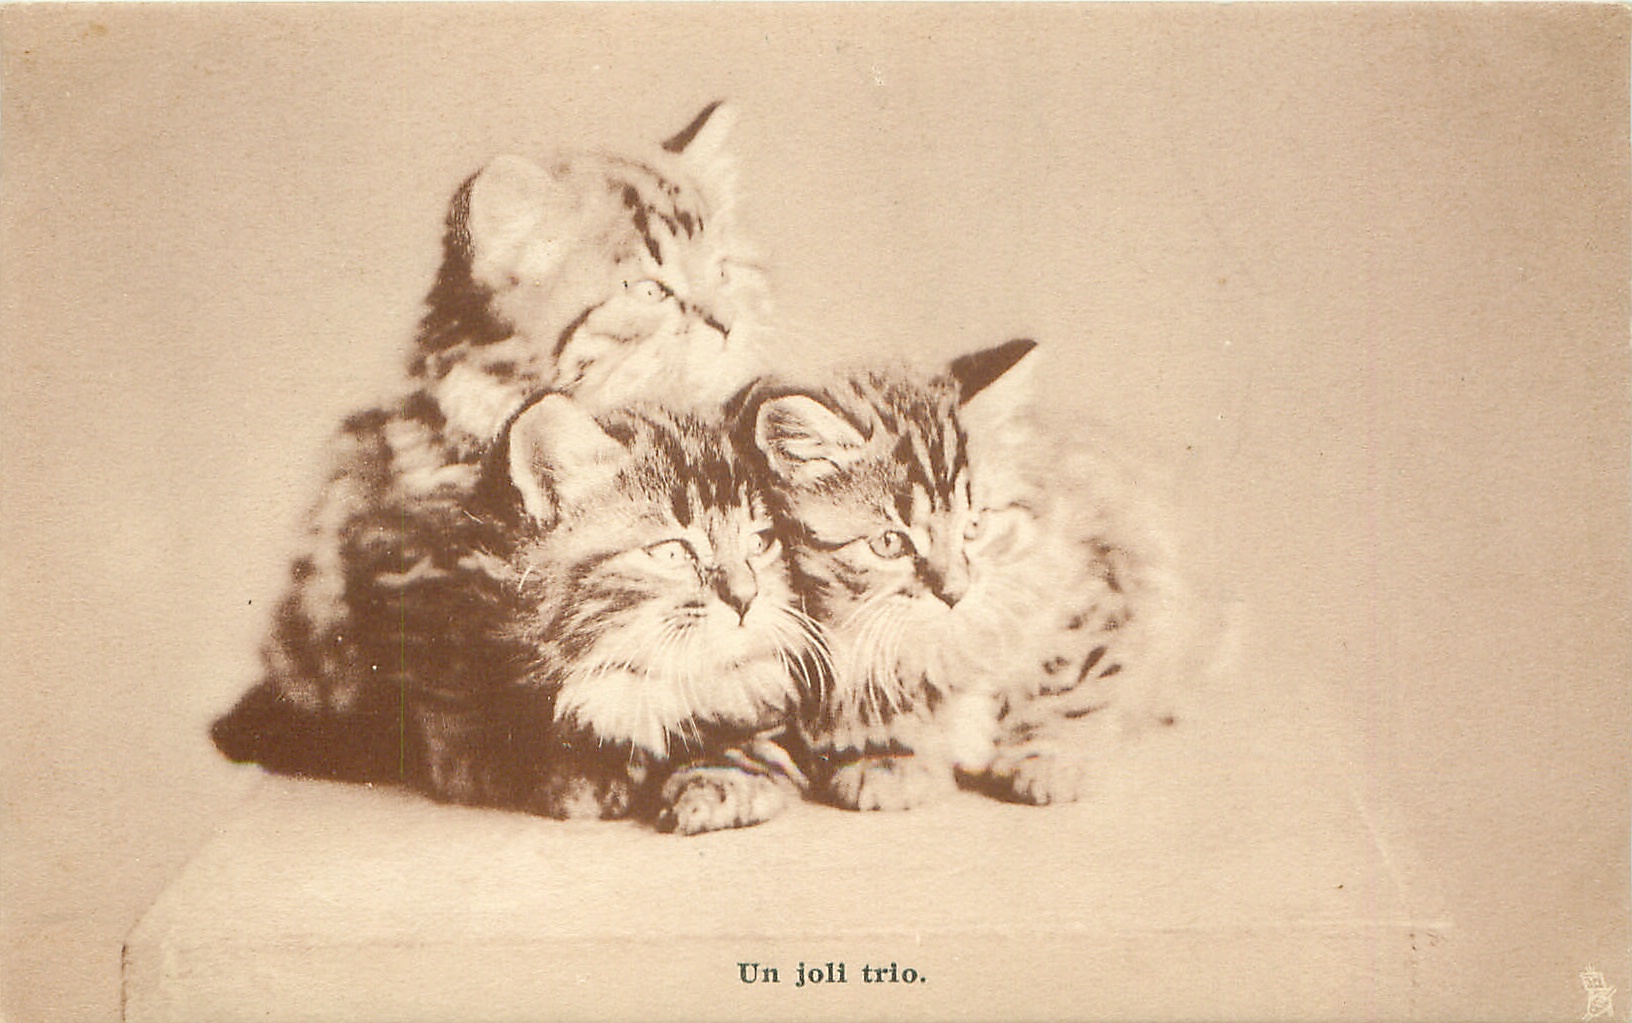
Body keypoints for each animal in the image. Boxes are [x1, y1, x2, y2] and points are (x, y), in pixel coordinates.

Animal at [746, 339, 1202, 811]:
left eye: (976, 526)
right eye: (890, 543)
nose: (954, 592)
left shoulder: (1099, 586)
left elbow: (1069, 687)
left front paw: (1049, 756)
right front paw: (890, 759)